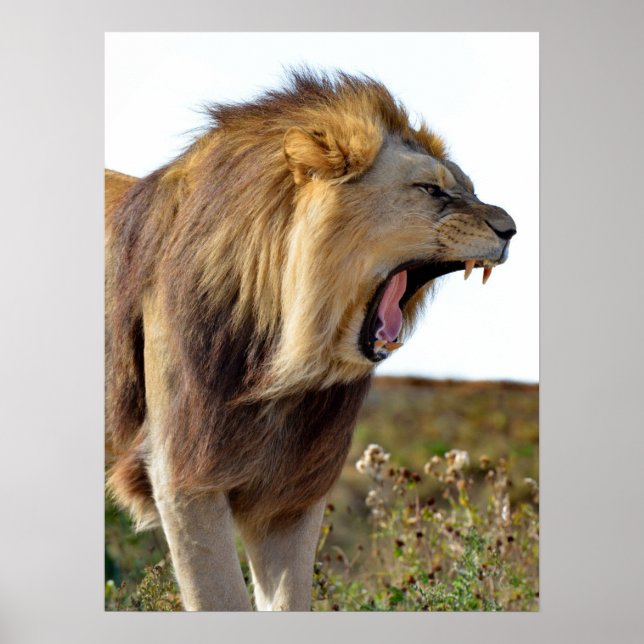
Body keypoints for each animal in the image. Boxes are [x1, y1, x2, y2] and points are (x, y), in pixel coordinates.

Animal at [105, 70, 516, 611]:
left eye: (469, 187)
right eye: (430, 189)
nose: (511, 229)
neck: (281, 363)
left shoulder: (292, 492)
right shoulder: (182, 478)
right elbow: (222, 597)